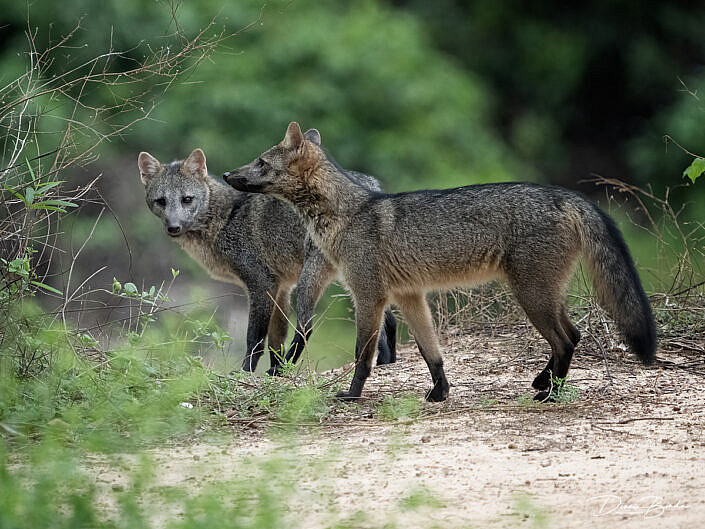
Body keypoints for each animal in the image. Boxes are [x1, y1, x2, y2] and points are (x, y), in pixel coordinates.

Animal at [136, 138, 396, 374]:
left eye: (187, 199)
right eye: (161, 202)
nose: (174, 227)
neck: (226, 218)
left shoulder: (261, 283)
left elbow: (255, 338)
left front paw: (247, 371)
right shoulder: (281, 288)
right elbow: (275, 340)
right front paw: (276, 369)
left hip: (312, 280)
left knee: (307, 326)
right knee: (388, 322)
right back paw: (387, 362)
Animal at [224, 119, 656, 400]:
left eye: (260, 162)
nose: (227, 174)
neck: (349, 213)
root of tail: (567, 195)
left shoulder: (369, 297)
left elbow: (363, 354)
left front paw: (351, 394)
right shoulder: (410, 296)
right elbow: (431, 352)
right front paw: (440, 392)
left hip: (532, 296)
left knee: (566, 340)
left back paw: (549, 394)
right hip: (543, 296)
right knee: (575, 335)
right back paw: (544, 383)